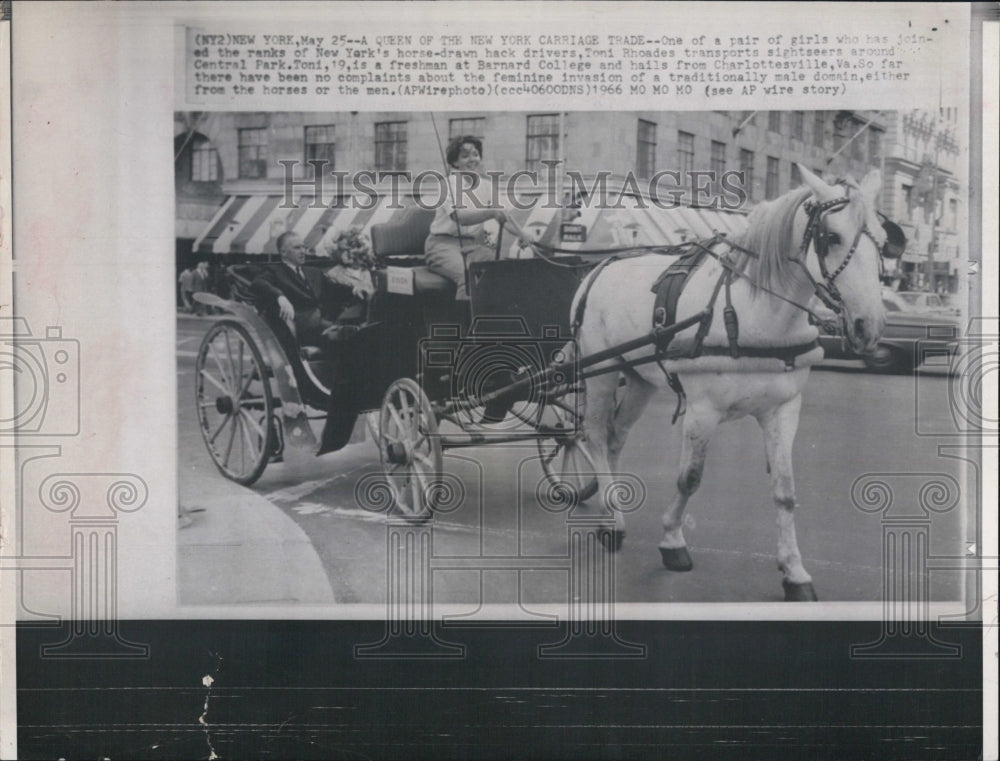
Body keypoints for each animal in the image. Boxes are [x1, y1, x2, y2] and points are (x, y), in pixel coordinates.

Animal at [568, 165, 888, 600]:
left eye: (884, 241)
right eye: (831, 237)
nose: (869, 327)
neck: (757, 313)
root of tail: (600, 269)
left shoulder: (783, 411)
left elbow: (785, 491)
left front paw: (794, 571)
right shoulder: (703, 411)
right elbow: (689, 478)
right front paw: (672, 540)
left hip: (638, 378)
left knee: (616, 437)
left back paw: (610, 505)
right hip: (601, 370)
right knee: (596, 436)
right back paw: (612, 521)